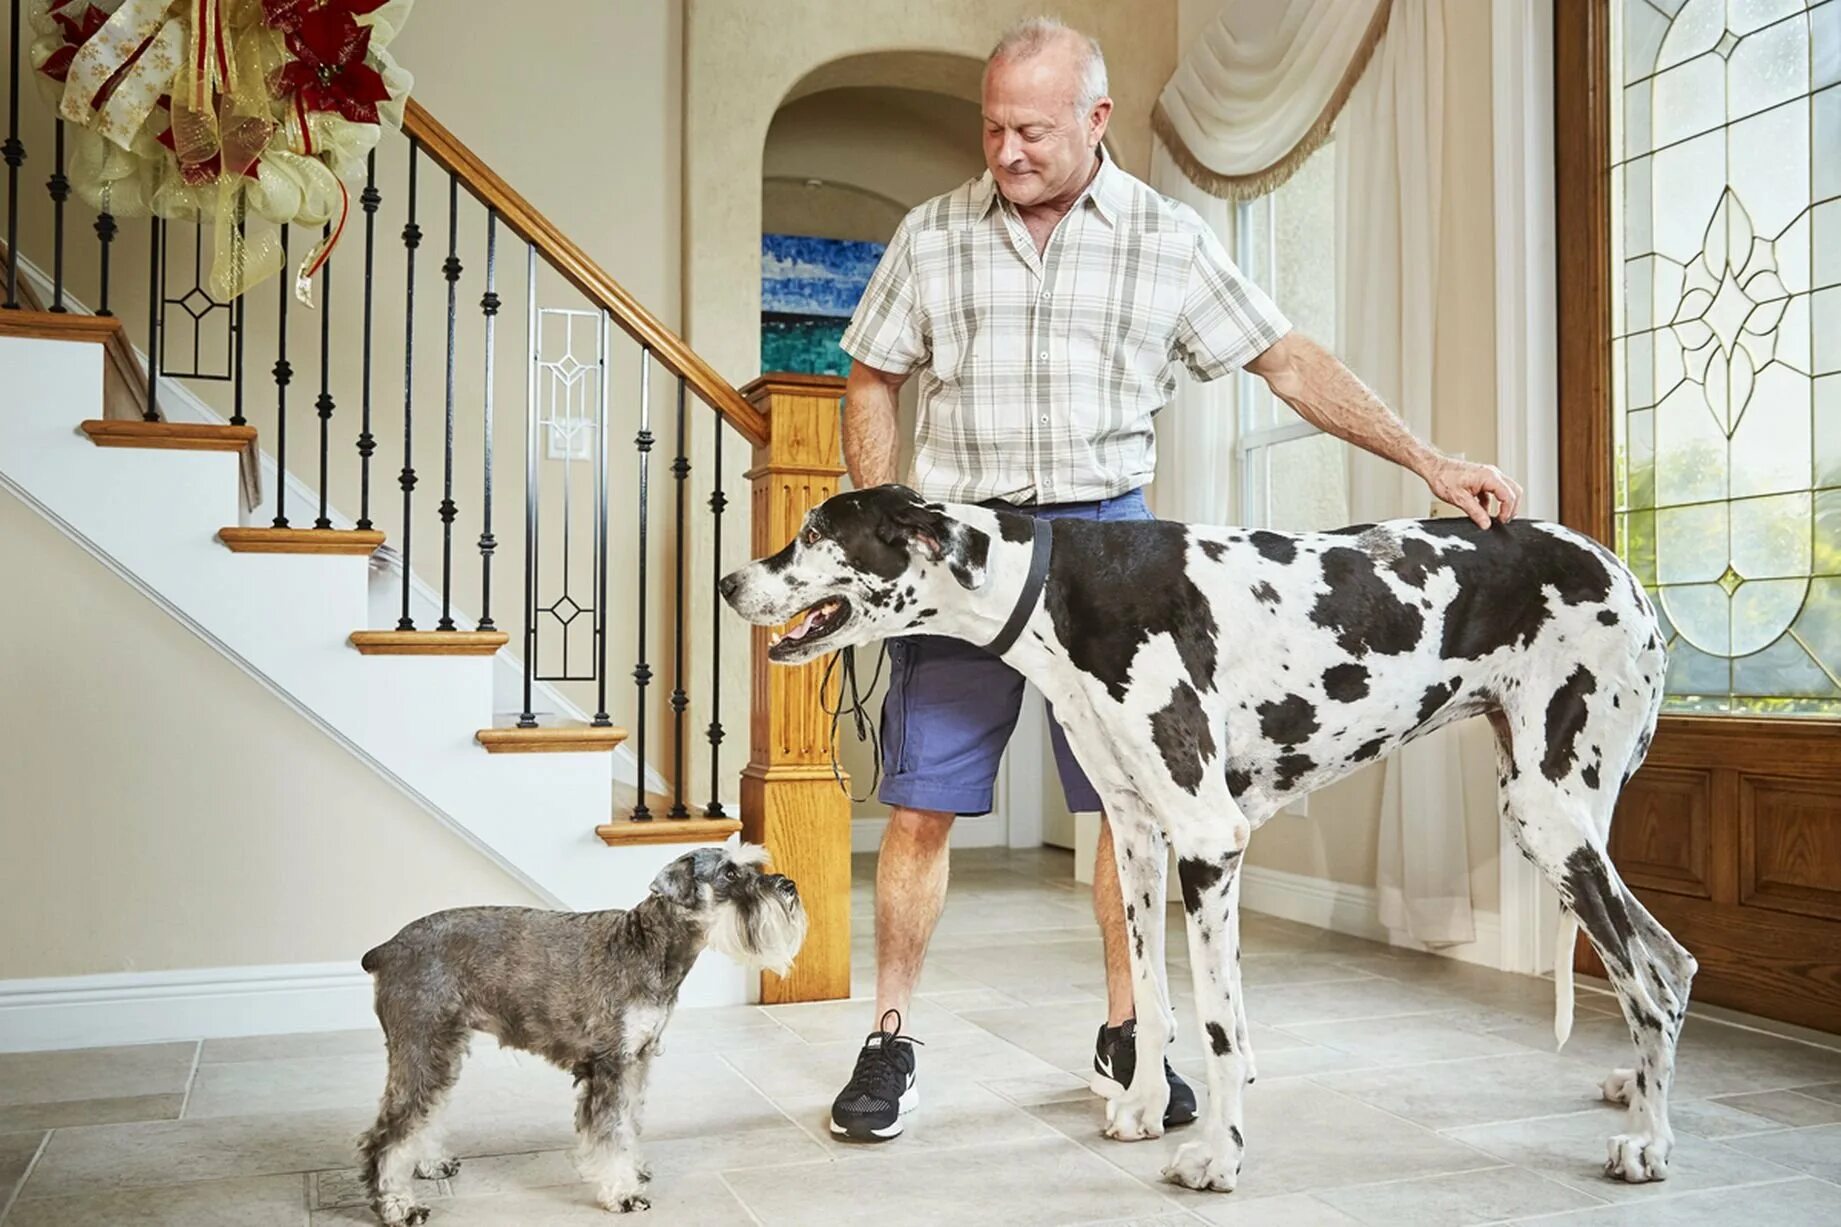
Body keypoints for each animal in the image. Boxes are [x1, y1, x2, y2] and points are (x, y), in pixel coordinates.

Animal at [355, 840, 802, 1223]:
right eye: (729, 873)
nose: (789, 886)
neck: (647, 945)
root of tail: (388, 948)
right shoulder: (610, 1064)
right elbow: (611, 1131)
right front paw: (623, 1192)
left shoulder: (636, 1059)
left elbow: (629, 1122)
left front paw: (634, 1169)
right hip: (422, 1045)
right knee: (387, 1136)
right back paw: (398, 1206)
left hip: (440, 1049)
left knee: (422, 1115)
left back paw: (429, 1165)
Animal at [717, 482, 1693, 1186]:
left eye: (815, 529)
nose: (729, 582)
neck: (1055, 588)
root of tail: (1622, 571)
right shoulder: (1138, 835)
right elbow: (1151, 997)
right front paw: (1144, 1107)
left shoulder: (1207, 838)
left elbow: (1220, 1024)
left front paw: (1220, 1158)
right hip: (1555, 820)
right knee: (1668, 960)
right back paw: (1636, 1093)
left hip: (1548, 815)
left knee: (1648, 982)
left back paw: (1648, 1141)